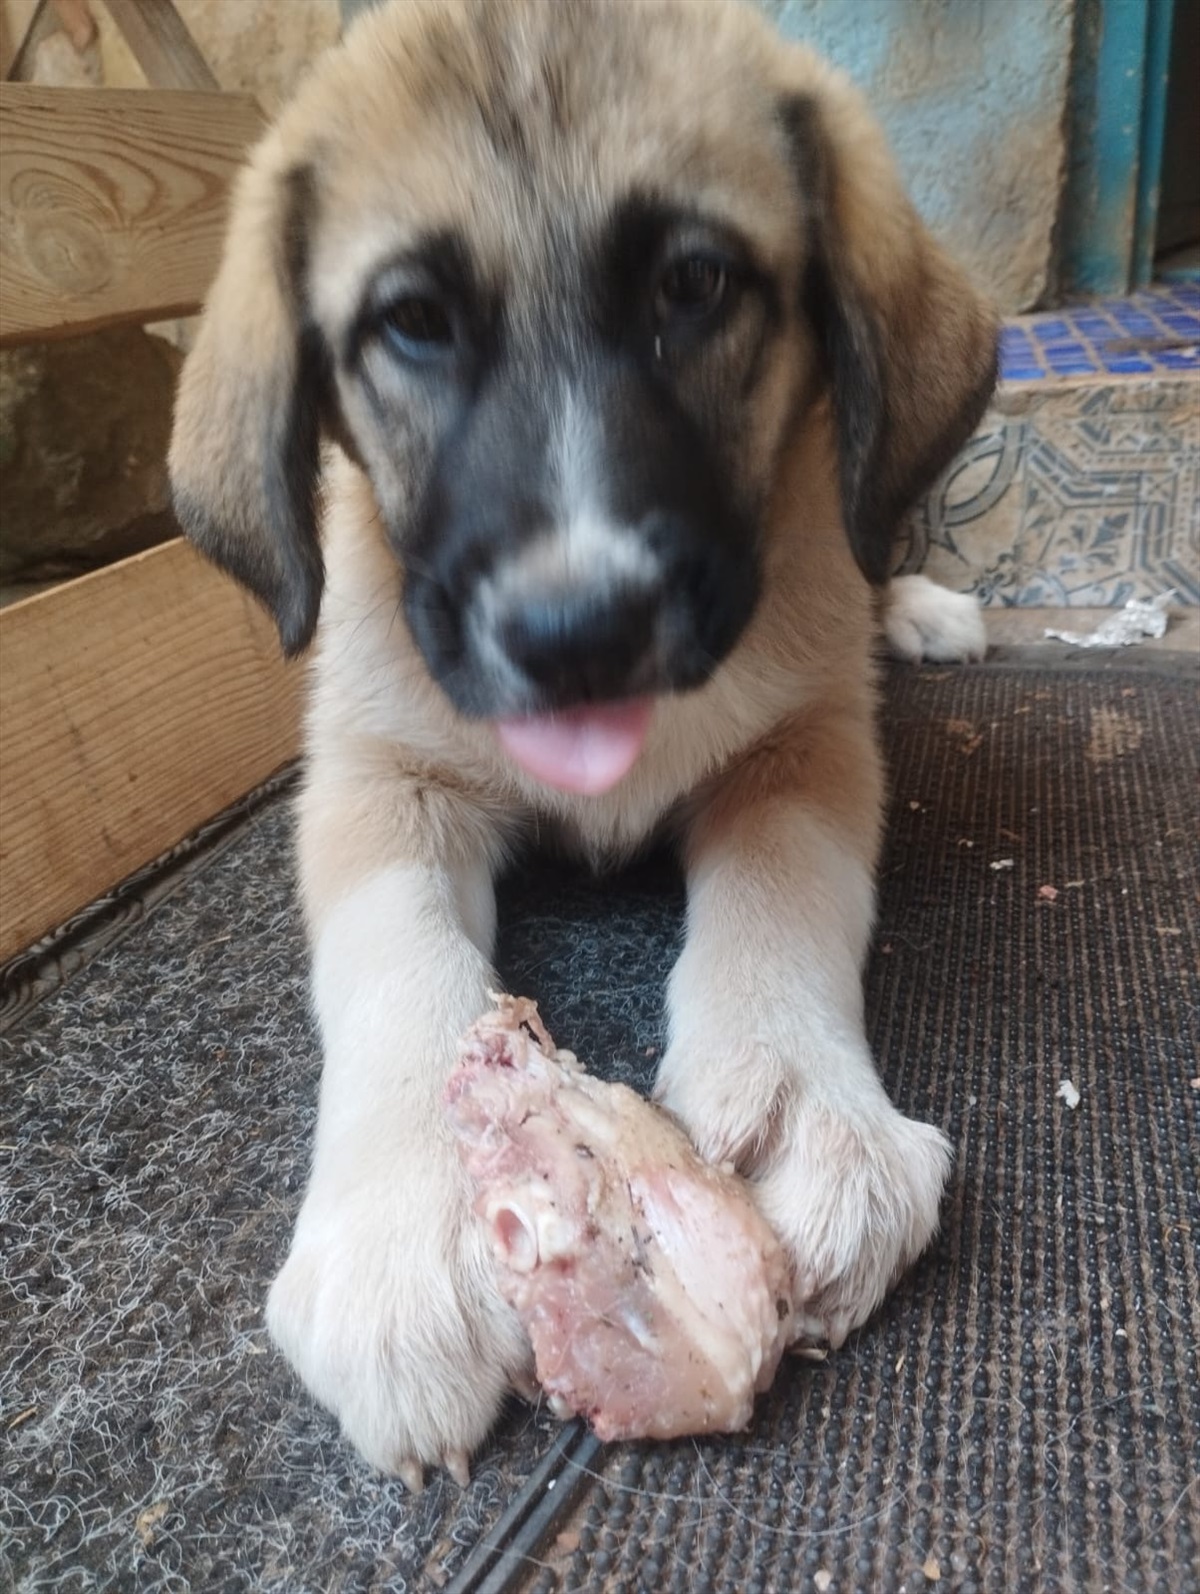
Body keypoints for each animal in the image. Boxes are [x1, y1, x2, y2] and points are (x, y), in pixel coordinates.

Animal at [168, 0, 994, 1485]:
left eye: (695, 285)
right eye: (411, 324)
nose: (579, 631)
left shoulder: (808, 741)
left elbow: (786, 895)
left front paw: (797, 1098)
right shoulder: (377, 776)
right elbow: (396, 966)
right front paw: (405, 1233)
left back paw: (922, 607)